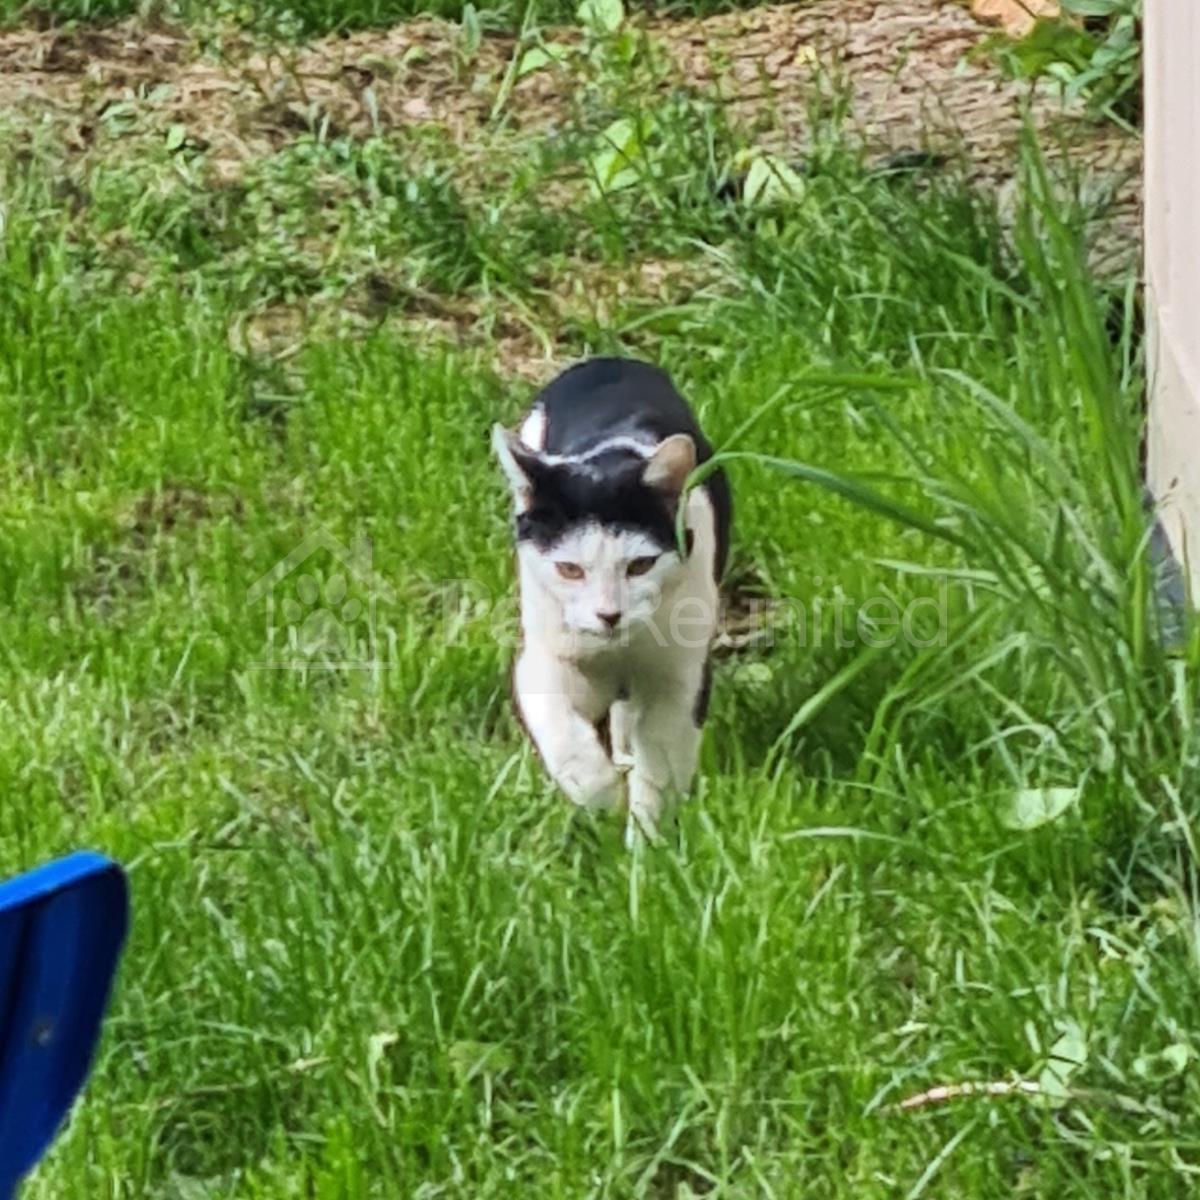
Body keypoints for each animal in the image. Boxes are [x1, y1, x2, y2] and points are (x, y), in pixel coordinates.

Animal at [493, 357, 732, 843]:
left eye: (640, 565)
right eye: (569, 569)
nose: (608, 614)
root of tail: (611, 360)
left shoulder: (680, 675)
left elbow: (661, 761)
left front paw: (650, 841)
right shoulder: (545, 658)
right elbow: (564, 735)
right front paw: (600, 797)